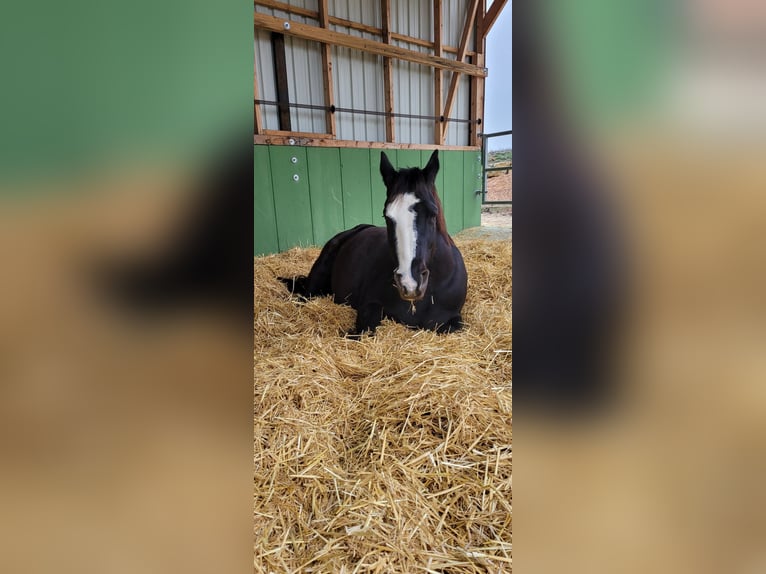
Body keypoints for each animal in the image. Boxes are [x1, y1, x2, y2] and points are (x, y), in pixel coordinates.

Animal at [280, 152, 464, 338]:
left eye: (433, 214)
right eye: (387, 217)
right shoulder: (369, 305)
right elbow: (365, 329)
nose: (410, 283)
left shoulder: (453, 320)